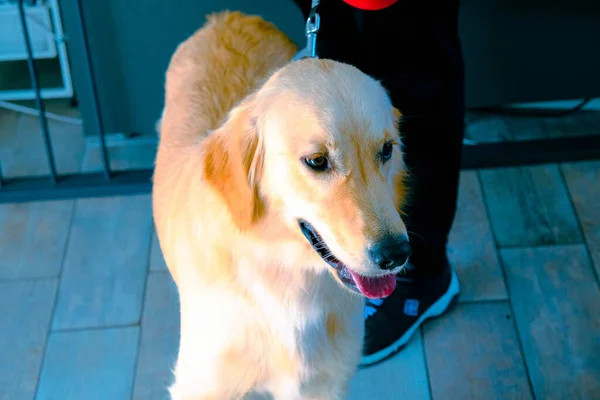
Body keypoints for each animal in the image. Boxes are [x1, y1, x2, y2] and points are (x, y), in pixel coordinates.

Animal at [152, 9, 410, 400]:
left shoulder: (325, 383)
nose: (396, 254)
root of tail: (227, 16)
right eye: (317, 161)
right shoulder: (202, 385)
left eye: (386, 150)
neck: (285, 279)